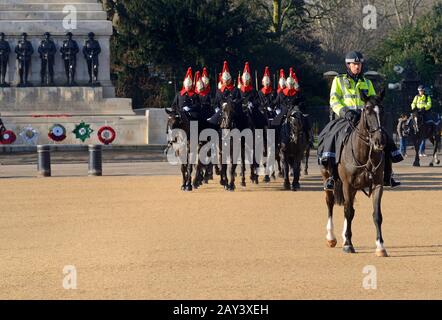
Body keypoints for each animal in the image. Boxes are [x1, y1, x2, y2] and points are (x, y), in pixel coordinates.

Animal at [322, 90, 390, 258]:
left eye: (382, 109)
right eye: (367, 109)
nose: (379, 141)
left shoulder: (377, 185)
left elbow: (376, 215)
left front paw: (380, 246)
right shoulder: (347, 185)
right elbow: (348, 212)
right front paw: (348, 244)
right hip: (328, 179)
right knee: (331, 203)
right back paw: (331, 237)